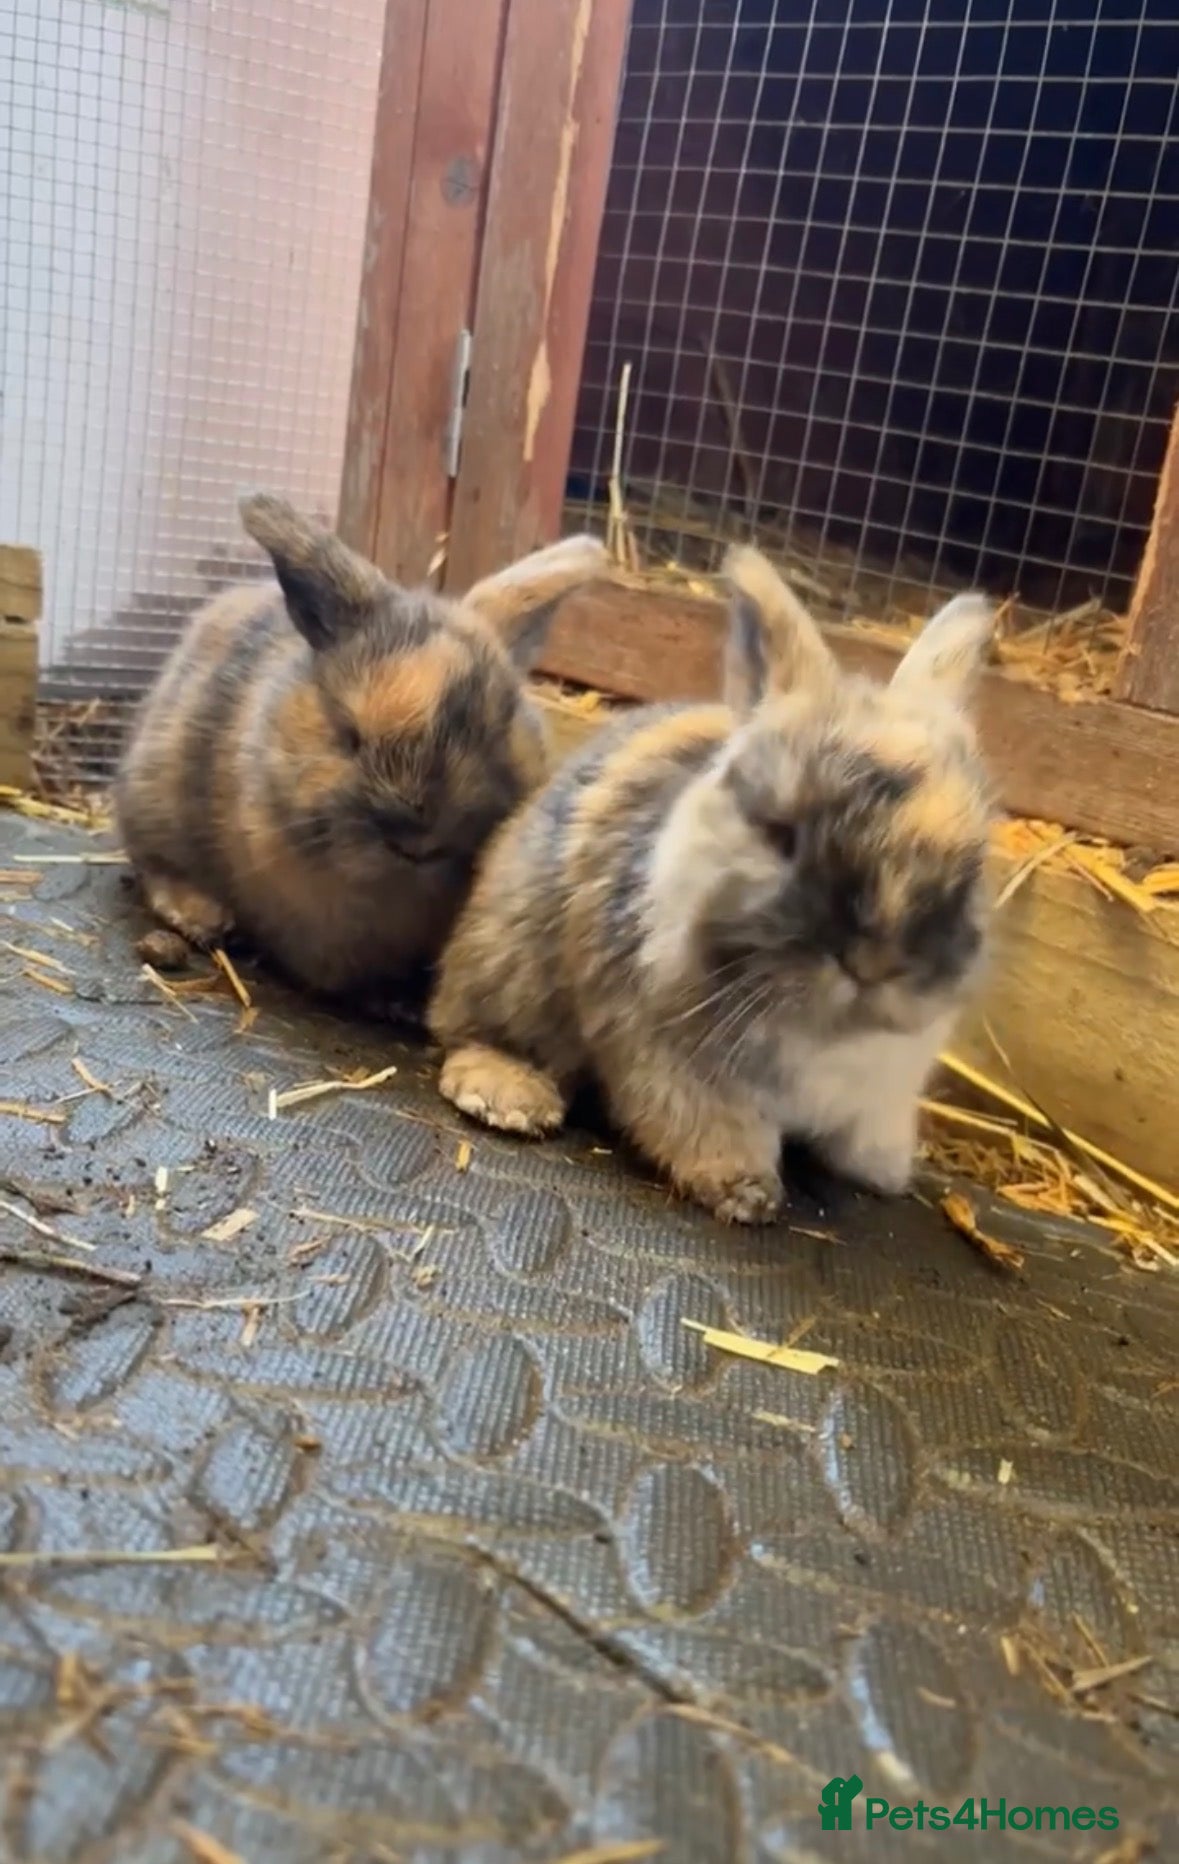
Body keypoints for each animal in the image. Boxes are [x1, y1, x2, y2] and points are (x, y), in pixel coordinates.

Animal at [115, 493, 607, 1003]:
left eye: (495, 729)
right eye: (350, 736)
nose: (417, 843)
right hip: (152, 799)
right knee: (154, 865)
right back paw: (204, 917)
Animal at [429, 545, 995, 1222]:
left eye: (972, 862)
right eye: (781, 834)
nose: (874, 962)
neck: (823, 1028)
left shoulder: (885, 1090)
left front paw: (883, 1174)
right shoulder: (670, 1056)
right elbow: (706, 1126)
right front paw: (744, 1193)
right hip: (509, 964)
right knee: (465, 1029)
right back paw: (511, 1097)